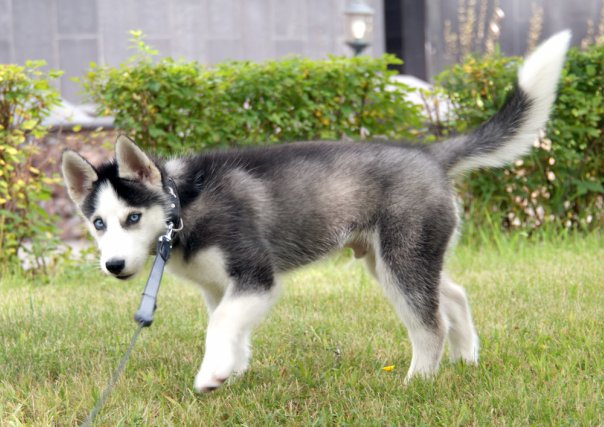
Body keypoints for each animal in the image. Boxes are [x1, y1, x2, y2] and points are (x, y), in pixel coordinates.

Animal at [61, 32, 570, 392]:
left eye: (132, 218)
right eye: (98, 224)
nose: (114, 265)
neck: (183, 207)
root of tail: (427, 153)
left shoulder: (256, 277)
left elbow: (222, 324)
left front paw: (210, 376)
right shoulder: (220, 287)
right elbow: (226, 327)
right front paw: (231, 371)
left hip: (401, 262)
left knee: (430, 325)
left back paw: (418, 382)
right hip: (396, 260)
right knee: (455, 296)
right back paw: (466, 359)